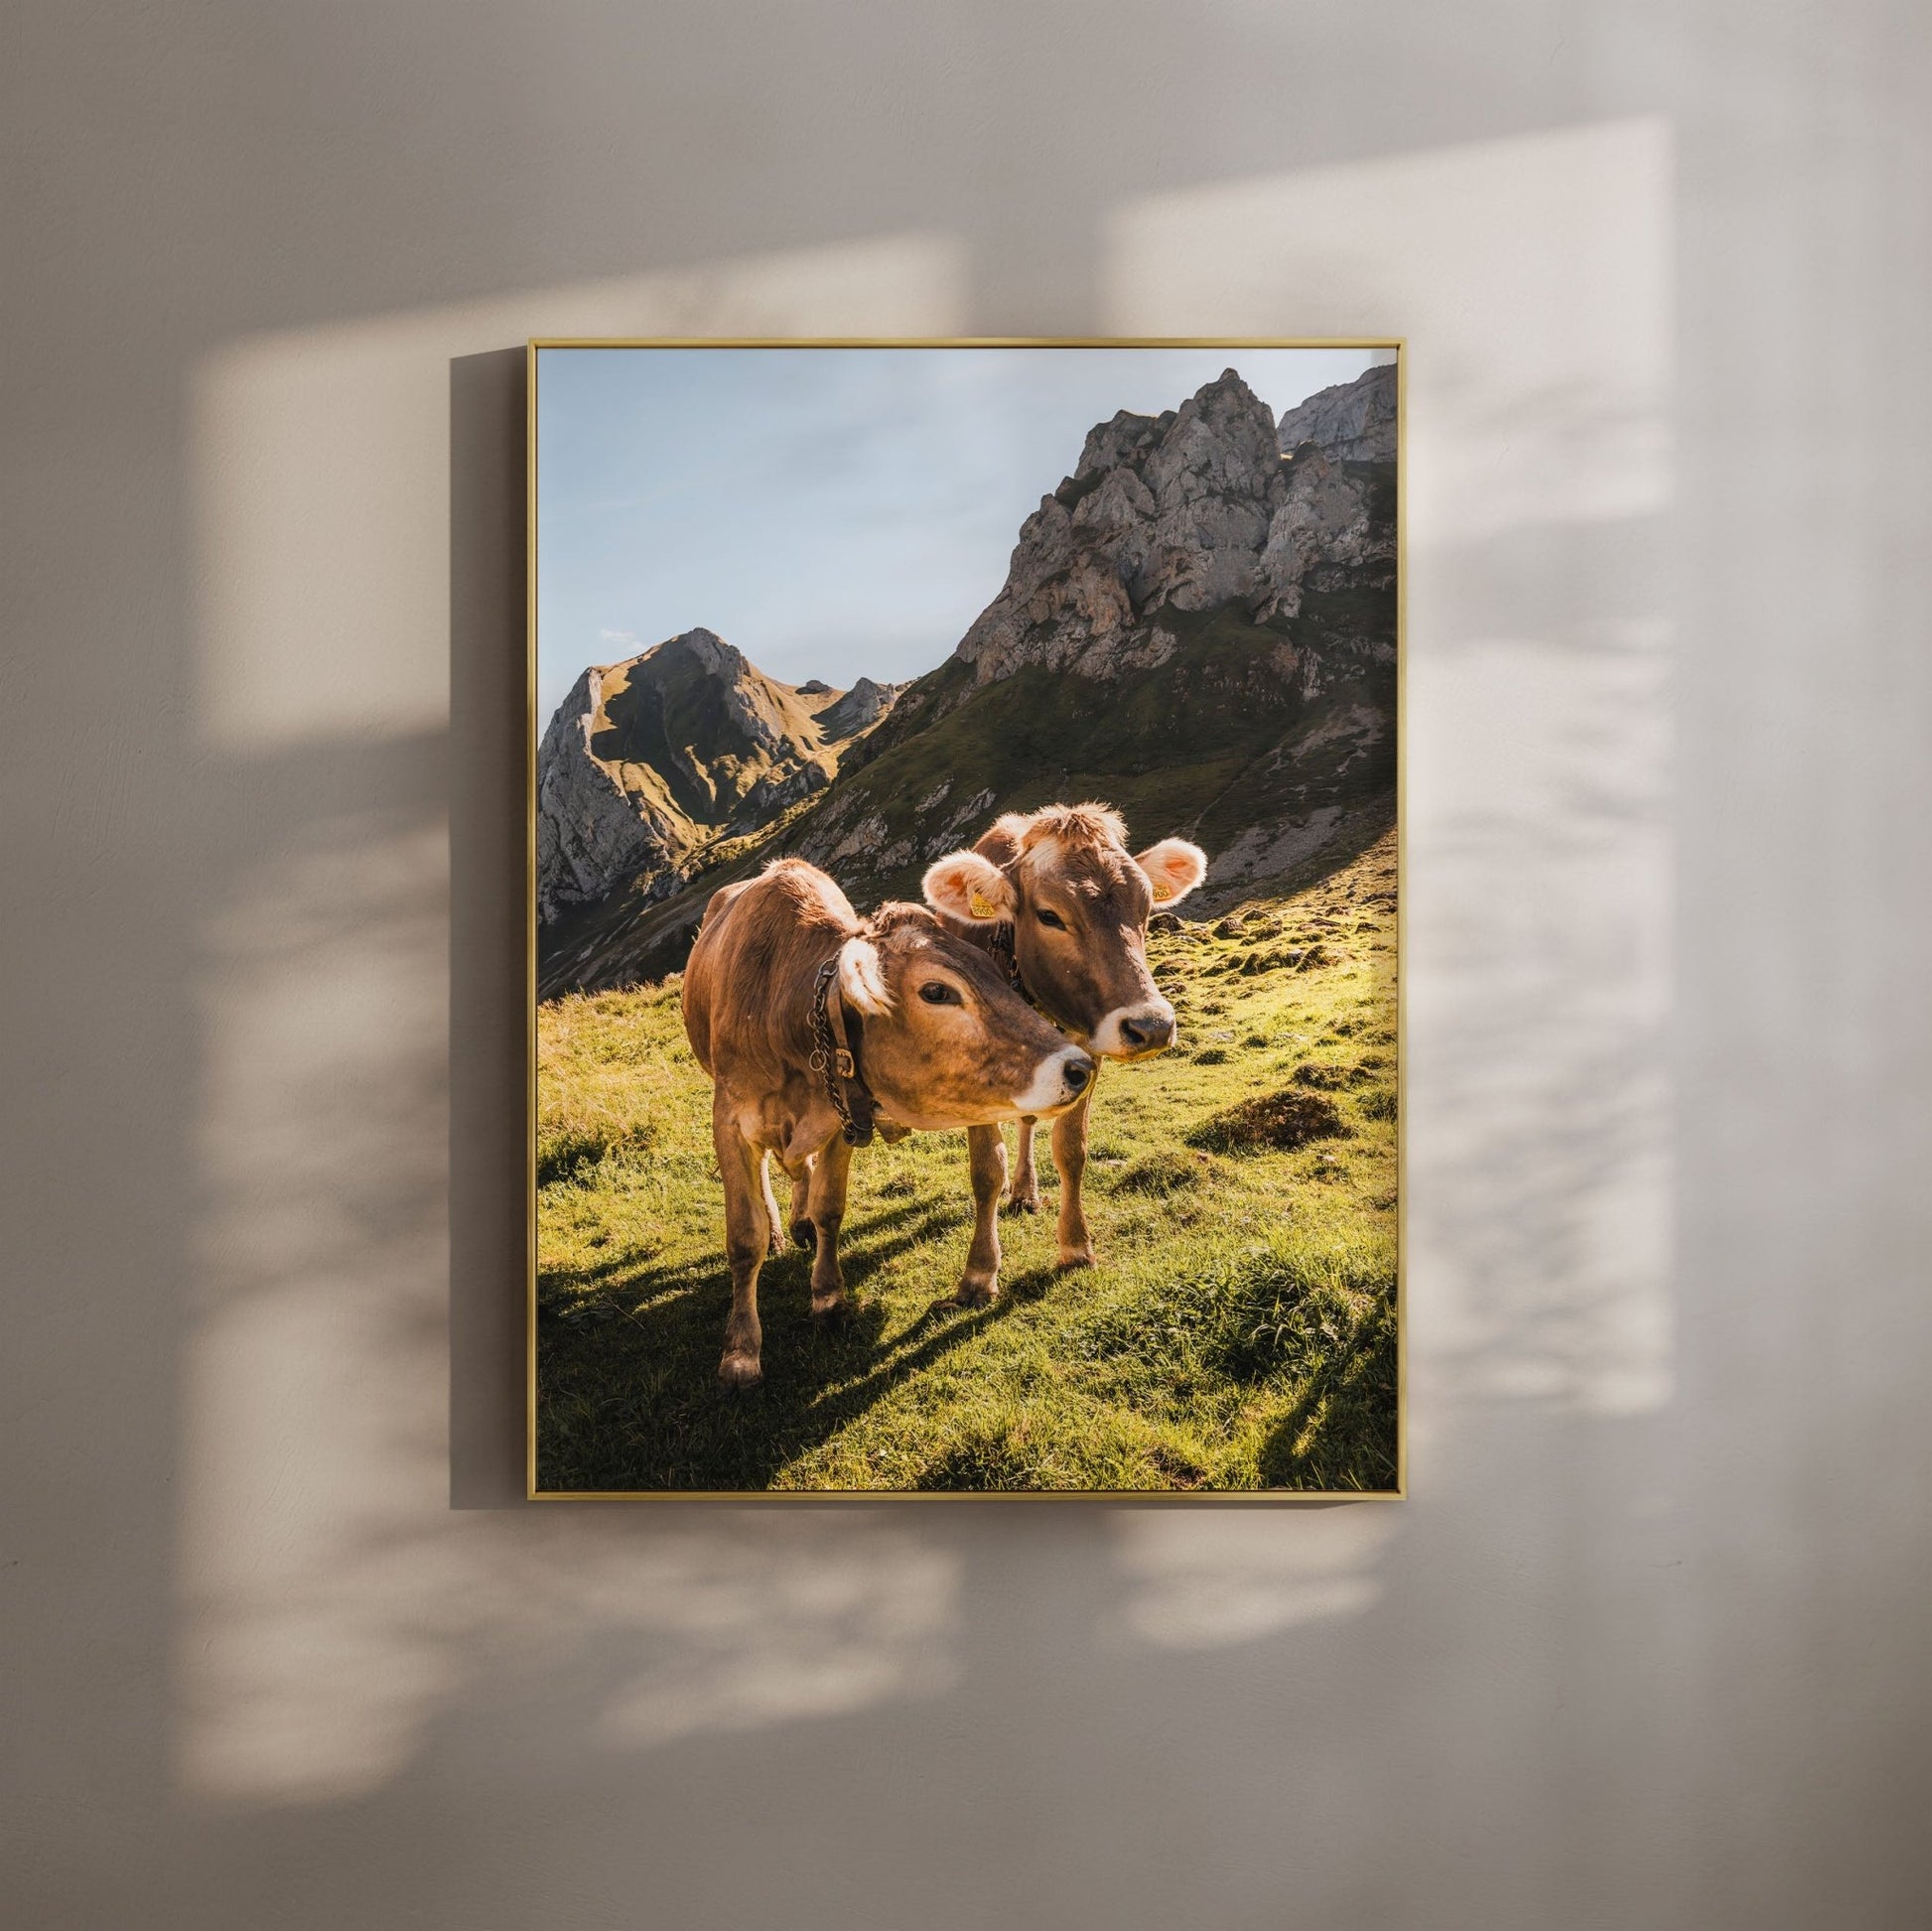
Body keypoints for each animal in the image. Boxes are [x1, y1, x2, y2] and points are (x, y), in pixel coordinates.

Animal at [687, 862, 1097, 1391]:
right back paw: (780, 1228)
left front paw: (828, 1297)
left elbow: (829, 1209)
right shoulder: (730, 1121)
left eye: (994, 973)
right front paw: (740, 1352)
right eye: (937, 991)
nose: (1080, 1067)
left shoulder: (841, 1114)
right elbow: (743, 1238)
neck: (781, 1005)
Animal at [919, 807, 1205, 1291]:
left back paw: (1025, 1190)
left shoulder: (1088, 1050)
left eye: (1146, 909)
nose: (1151, 1026)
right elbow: (986, 1168)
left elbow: (1072, 1149)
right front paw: (980, 1271)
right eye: (1050, 915)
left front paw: (1075, 1246)